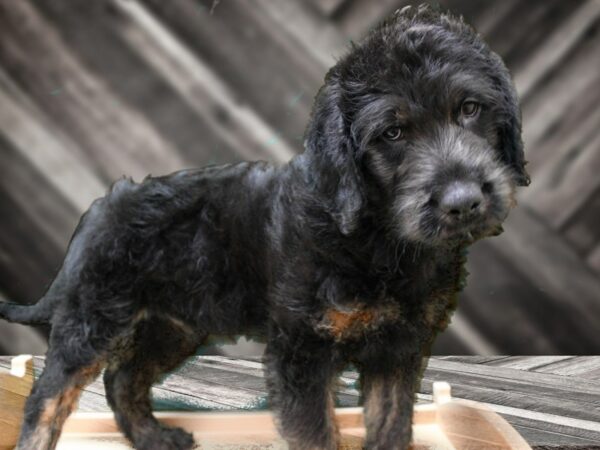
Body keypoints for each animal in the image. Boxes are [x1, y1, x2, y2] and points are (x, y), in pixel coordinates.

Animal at [0, 4, 528, 450]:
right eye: (392, 133)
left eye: (470, 108)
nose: (464, 202)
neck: (376, 240)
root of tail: (100, 208)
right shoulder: (301, 351)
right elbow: (316, 434)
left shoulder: (398, 351)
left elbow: (392, 425)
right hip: (94, 318)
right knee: (48, 394)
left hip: (172, 324)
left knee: (122, 380)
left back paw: (156, 438)